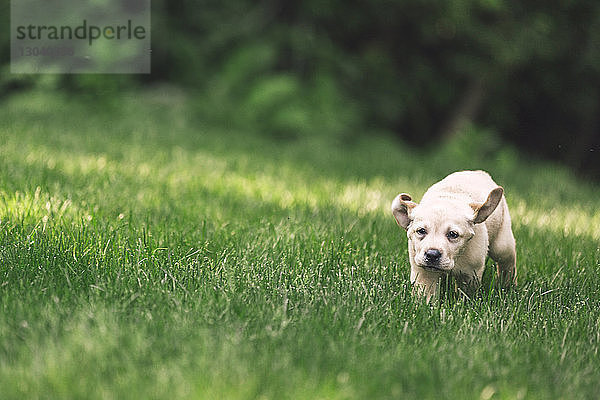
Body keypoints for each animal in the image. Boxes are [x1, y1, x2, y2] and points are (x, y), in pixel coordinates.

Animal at [394, 170, 516, 298]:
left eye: (453, 234)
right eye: (421, 231)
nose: (432, 255)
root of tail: (480, 172)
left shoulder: (470, 274)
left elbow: (465, 294)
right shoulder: (423, 273)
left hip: (502, 245)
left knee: (507, 262)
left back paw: (508, 285)